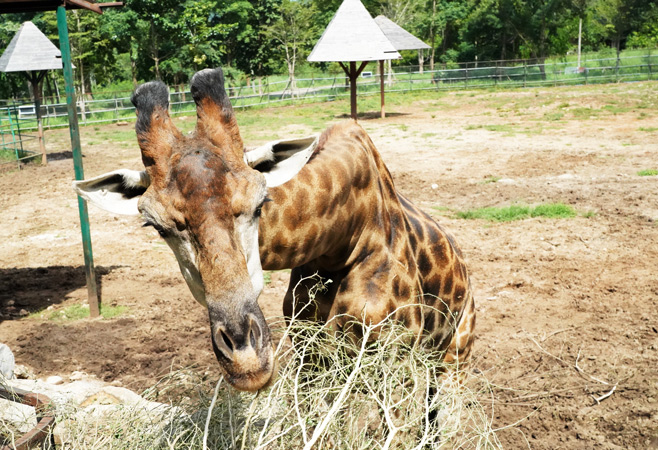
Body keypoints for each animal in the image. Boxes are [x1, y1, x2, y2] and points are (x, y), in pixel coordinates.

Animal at [74, 67, 476, 393]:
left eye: (260, 202)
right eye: (157, 226)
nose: (246, 360)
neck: (341, 242)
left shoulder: (395, 355)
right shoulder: (311, 355)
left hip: (453, 358)